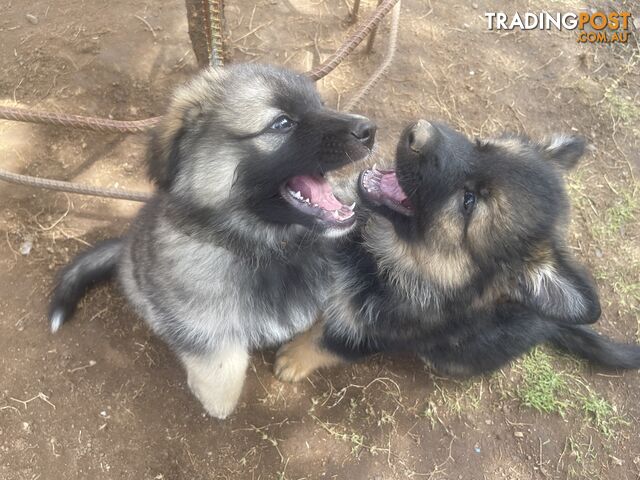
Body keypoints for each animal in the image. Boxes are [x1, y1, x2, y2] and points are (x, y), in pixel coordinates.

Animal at [51, 62, 380, 416]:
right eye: (282, 123)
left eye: (320, 105)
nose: (369, 129)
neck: (273, 248)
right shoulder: (201, 324)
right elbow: (223, 368)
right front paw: (216, 402)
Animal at [276, 118, 640, 380]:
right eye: (482, 146)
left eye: (469, 201)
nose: (418, 130)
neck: (392, 257)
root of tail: (550, 322)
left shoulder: (373, 334)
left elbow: (327, 342)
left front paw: (293, 359)